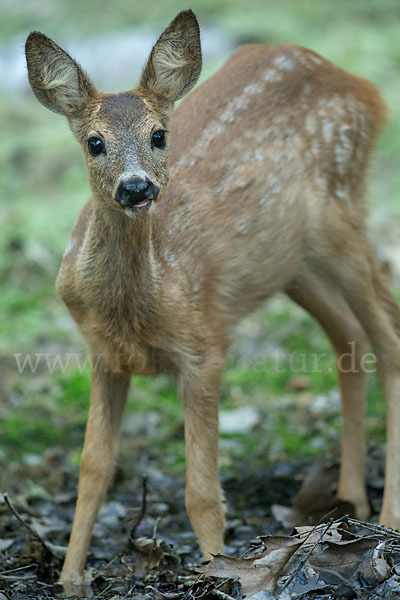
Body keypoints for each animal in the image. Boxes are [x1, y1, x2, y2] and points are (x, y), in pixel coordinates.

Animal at [24, 8, 400, 580]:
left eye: (160, 135)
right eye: (94, 142)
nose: (137, 187)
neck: (138, 307)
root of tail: (361, 85)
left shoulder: (204, 347)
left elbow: (201, 492)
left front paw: (215, 570)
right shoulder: (103, 355)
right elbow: (93, 469)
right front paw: (70, 582)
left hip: (341, 218)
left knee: (388, 339)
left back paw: (387, 515)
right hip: (293, 264)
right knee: (348, 338)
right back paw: (350, 500)